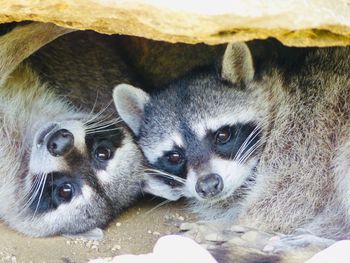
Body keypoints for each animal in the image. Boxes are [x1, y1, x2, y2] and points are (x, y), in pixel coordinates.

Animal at [114, 39, 350, 252]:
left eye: (223, 135)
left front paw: (229, 225)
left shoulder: (305, 130)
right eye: (174, 157)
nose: (208, 185)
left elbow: (293, 193)